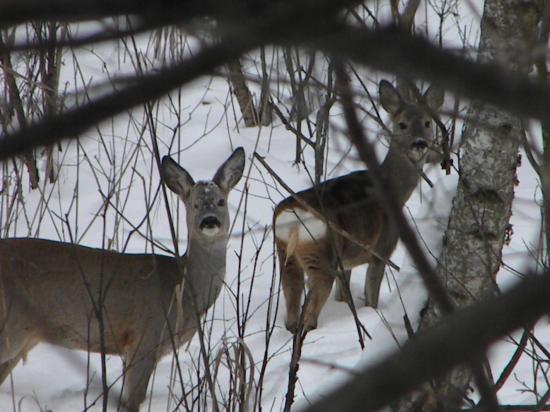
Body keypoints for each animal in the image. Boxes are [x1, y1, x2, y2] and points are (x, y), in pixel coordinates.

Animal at [0, 148, 246, 412]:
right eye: (194, 204)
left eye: (221, 201)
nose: (209, 221)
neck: (184, 287)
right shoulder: (145, 337)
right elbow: (132, 401)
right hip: (10, 326)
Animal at [274, 80, 446, 332]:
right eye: (402, 124)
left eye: (427, 122)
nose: (420, 143)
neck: (394, 190)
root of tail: (294, 219)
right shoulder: (381, 249)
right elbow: (371, 297)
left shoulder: (347, 260)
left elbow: (343, 296)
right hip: (321, 253)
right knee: (309, 318)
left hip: (285, 252)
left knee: (292, 312)